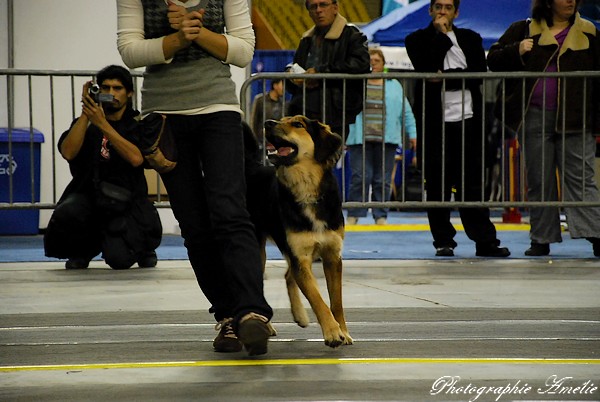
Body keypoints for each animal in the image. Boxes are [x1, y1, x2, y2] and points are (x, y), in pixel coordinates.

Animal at [245, 114, 352, 348]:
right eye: (281, 119)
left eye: (298, 124)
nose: (267, 122)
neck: (306, 189)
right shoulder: (300, 256)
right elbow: (317, 298)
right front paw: (332, 332)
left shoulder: (332, 256)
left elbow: (336, 301)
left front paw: (343, 331)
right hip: (260, 251)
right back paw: (266, 324)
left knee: (288, 275)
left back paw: (300, 316)